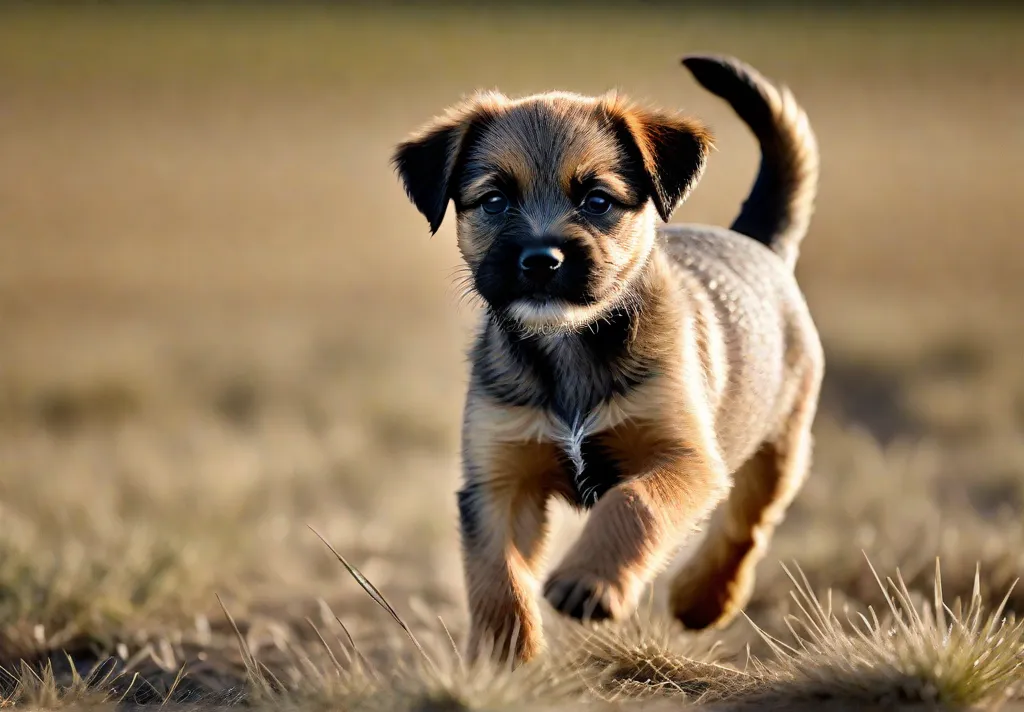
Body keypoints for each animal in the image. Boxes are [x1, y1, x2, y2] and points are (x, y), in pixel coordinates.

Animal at [391, 57, 823, 667]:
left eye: (597, 200)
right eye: (495, 200)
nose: (540, 260)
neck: (568, 346)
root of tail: (758, 243)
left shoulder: (683, 457)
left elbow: (634, 502)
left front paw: (589, 581)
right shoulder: (499, 481)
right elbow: (496, 575)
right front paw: (504, 660)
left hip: (780, 446)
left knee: (747, 523)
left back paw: (703, 597)